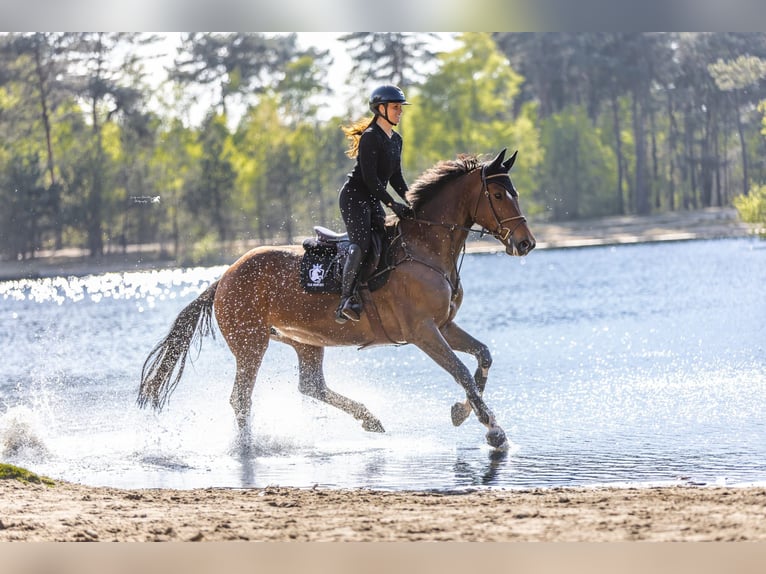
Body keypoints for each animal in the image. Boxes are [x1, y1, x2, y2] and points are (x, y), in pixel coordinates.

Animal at [137, 148, 536, 449]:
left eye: (515, 192)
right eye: (498, 195)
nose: (526, 243)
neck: (426, 248)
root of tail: (223, 277)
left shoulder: (444, 325)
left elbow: (482, 357)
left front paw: (462, 412)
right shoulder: (423, 331)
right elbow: (460, 371)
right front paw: (493, 430)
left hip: (305, 341)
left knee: (310, 385)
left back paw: (370, 419)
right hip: (251, 344)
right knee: (242, 398)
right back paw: (248, 445)